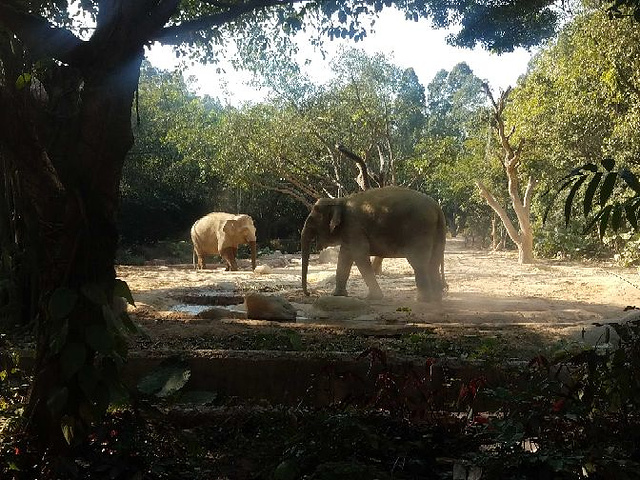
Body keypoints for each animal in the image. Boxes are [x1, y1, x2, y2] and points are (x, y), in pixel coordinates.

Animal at [302, 187, 444, 302]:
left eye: (311, 221)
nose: (309, 293)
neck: (340, 200)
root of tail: (437, 207)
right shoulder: (350, 231)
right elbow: (344, 257)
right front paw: (338, 295)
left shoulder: (354, 227)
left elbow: (359, 256)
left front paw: (372, 298)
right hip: (436, 232)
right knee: (434, 262)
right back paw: (436, 299)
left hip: (419, 229)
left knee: (418, 262)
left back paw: (421, 300)